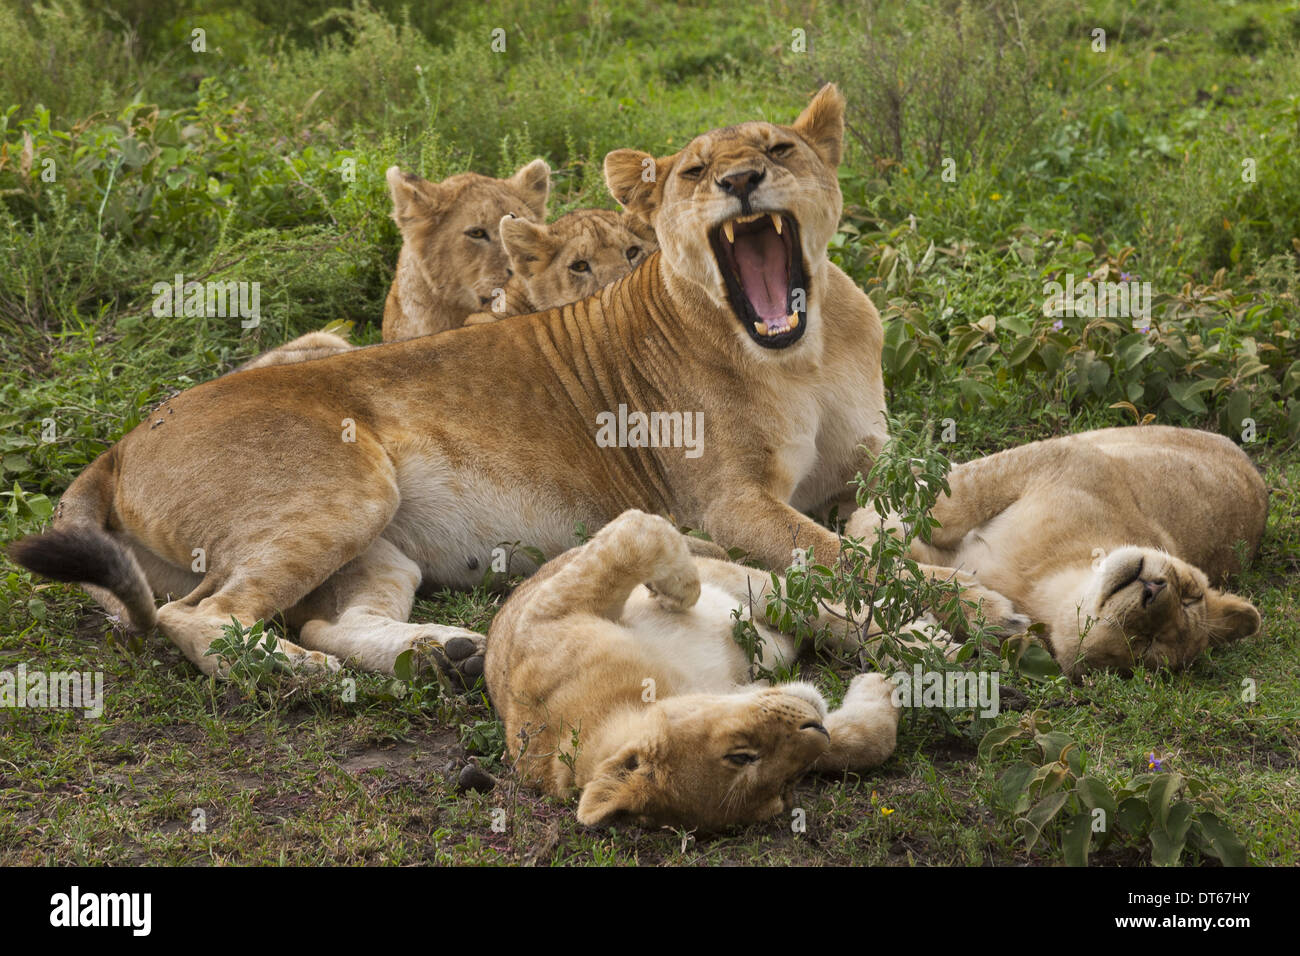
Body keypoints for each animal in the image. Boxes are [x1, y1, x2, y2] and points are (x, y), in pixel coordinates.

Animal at [847, 421, 1263, 676]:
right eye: (1191, 596)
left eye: (1146, 645)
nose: (1153, 588)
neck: (1041, 581)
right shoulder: (1067, 459)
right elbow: (954, 500)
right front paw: (888, 510)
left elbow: (902, 566)